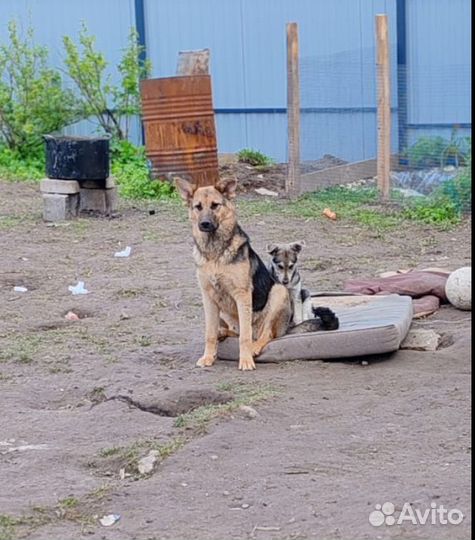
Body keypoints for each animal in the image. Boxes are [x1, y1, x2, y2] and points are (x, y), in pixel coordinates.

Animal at [177, 177, 340, 372]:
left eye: (215, 205)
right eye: (198, 207)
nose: (204, 224)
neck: (215, 252)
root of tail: (286, 328)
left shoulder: (242, 295)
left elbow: (244, 337)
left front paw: (246, 360)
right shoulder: (208, 297)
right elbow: (209, 333)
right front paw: (208, 357)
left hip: (278, 292)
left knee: (264, 334)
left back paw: (254, 347)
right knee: (235, 331)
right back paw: (223, 332)